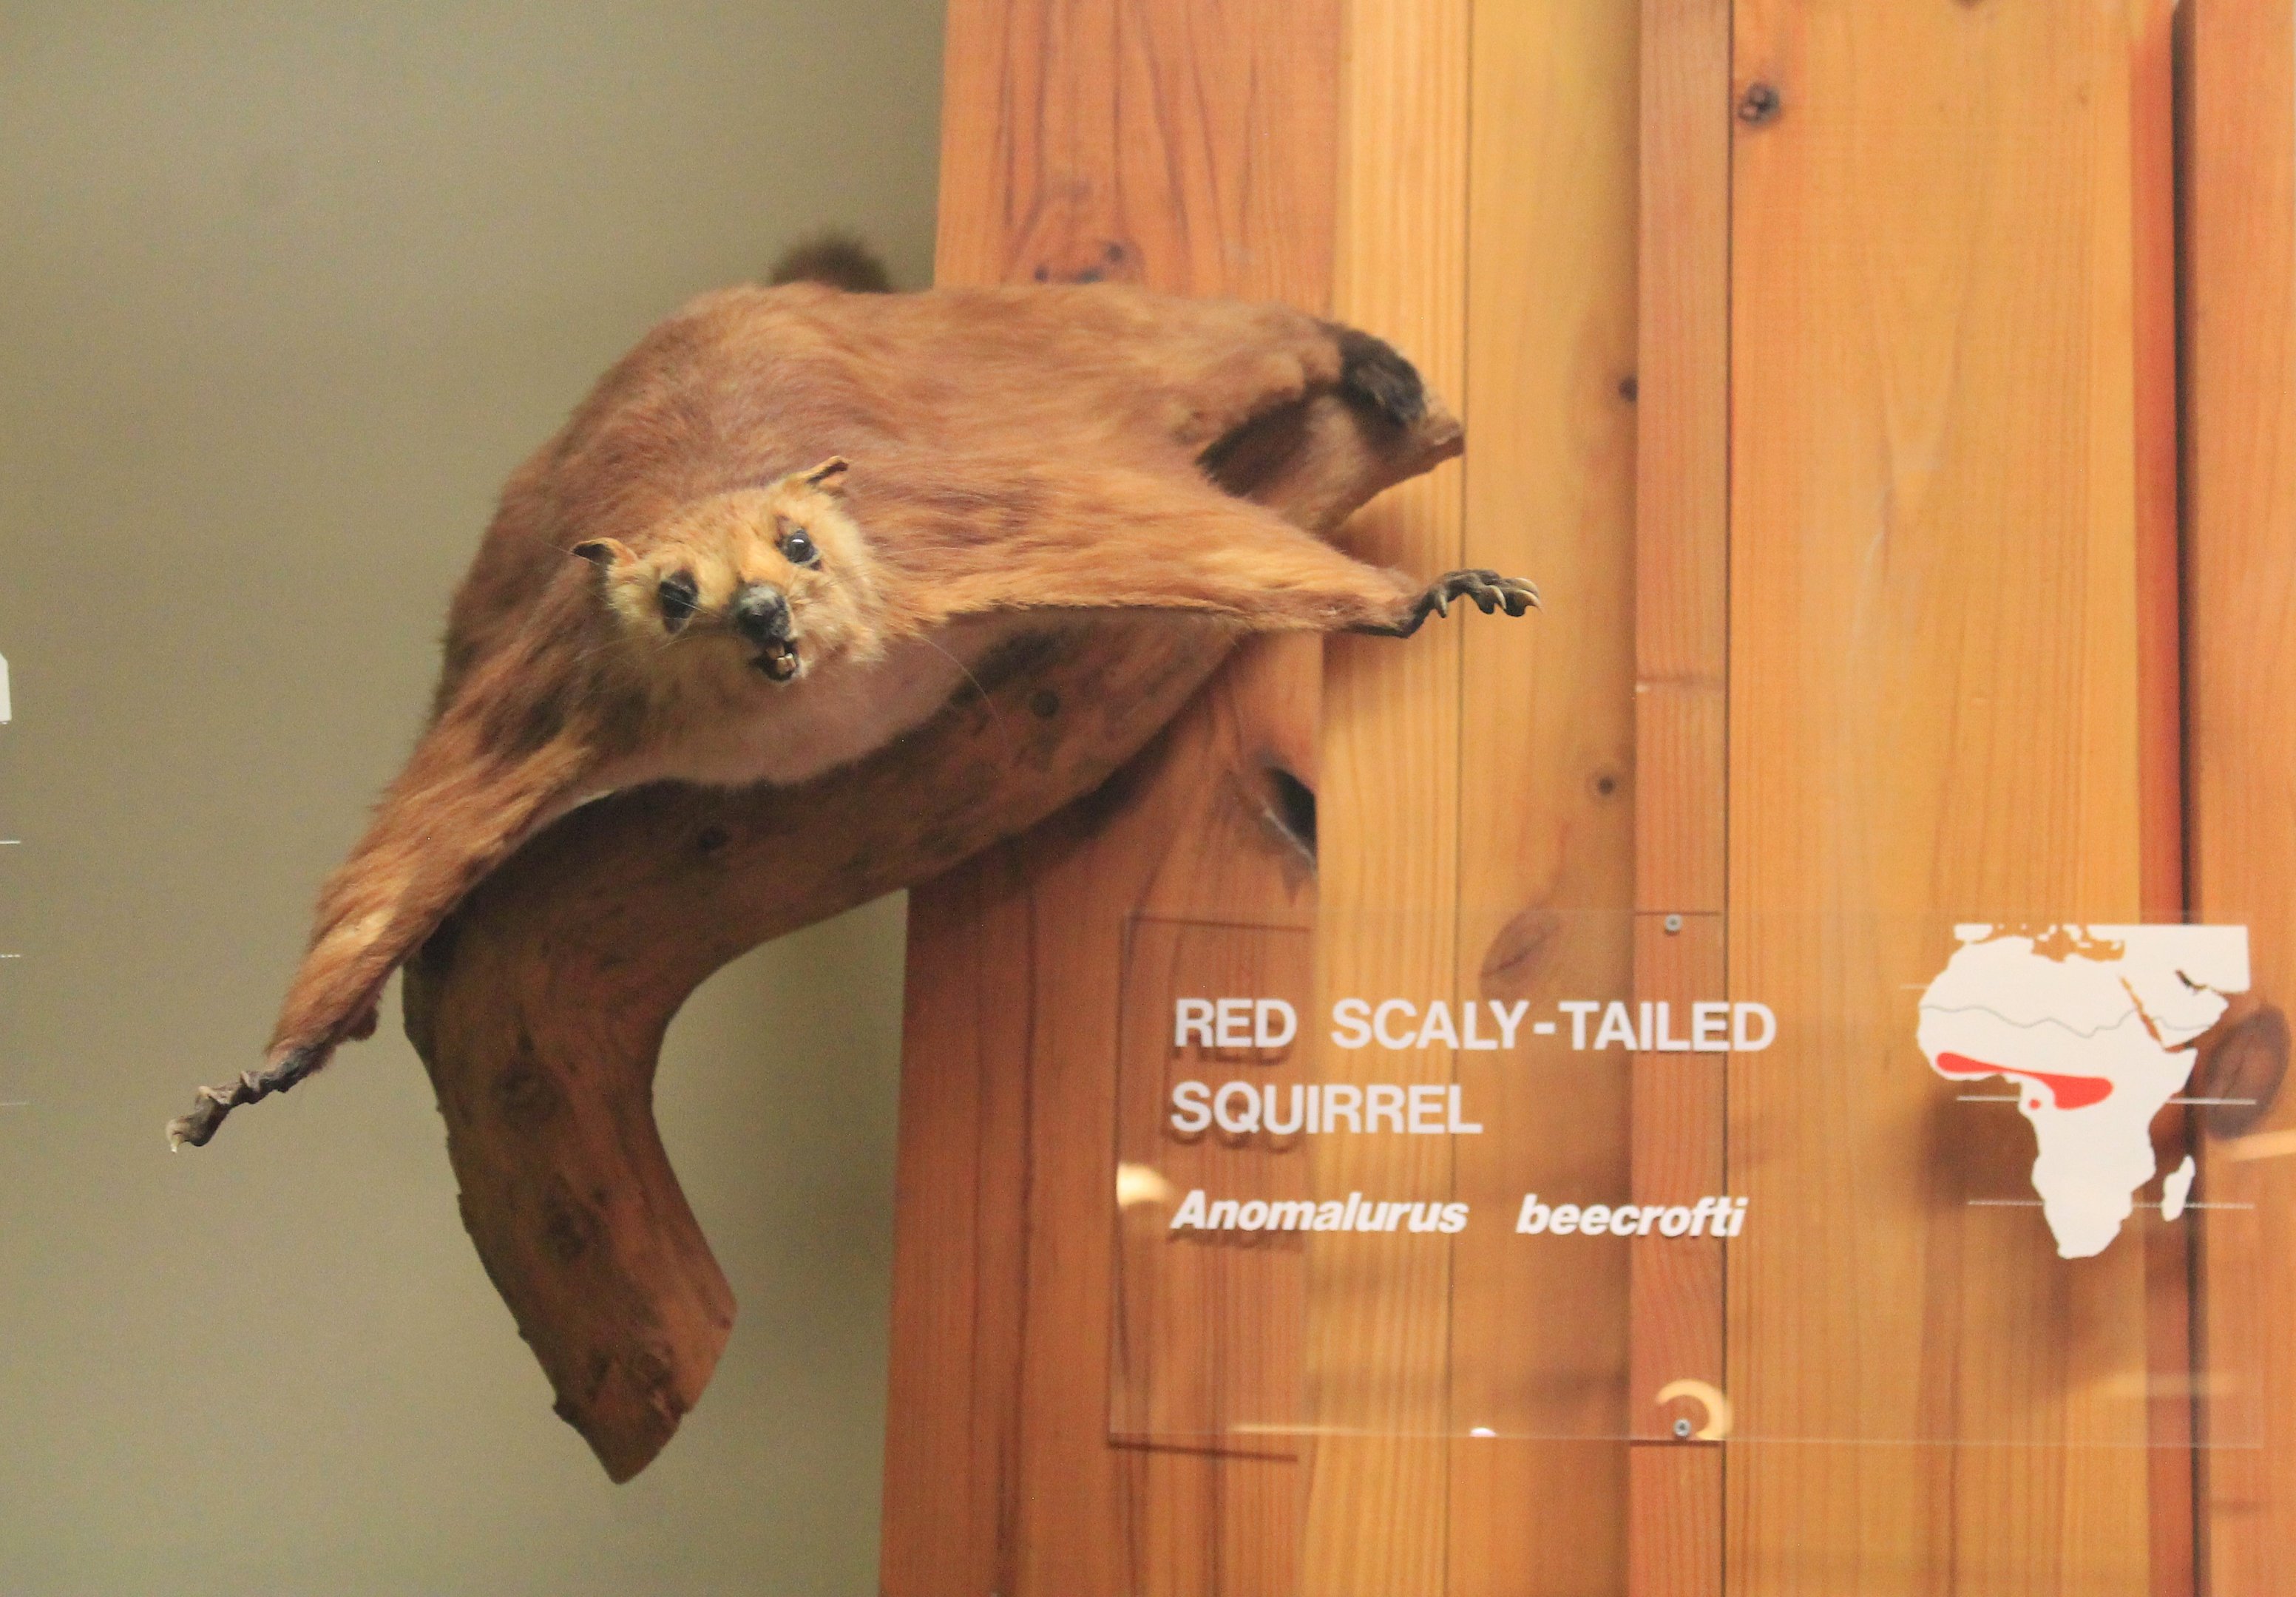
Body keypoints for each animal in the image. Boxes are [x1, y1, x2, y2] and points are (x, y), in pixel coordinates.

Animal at [167, 250, 1536, 1150]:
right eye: (676, 594)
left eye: (799, 547)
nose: (765, 617)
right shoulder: (539, 703)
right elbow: (395, 864)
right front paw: (261, 1074)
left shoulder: (985, 525)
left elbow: (1204, 543)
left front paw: (1427, 593)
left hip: (1084, 349)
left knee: (1225, 336)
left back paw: (1373, 365)